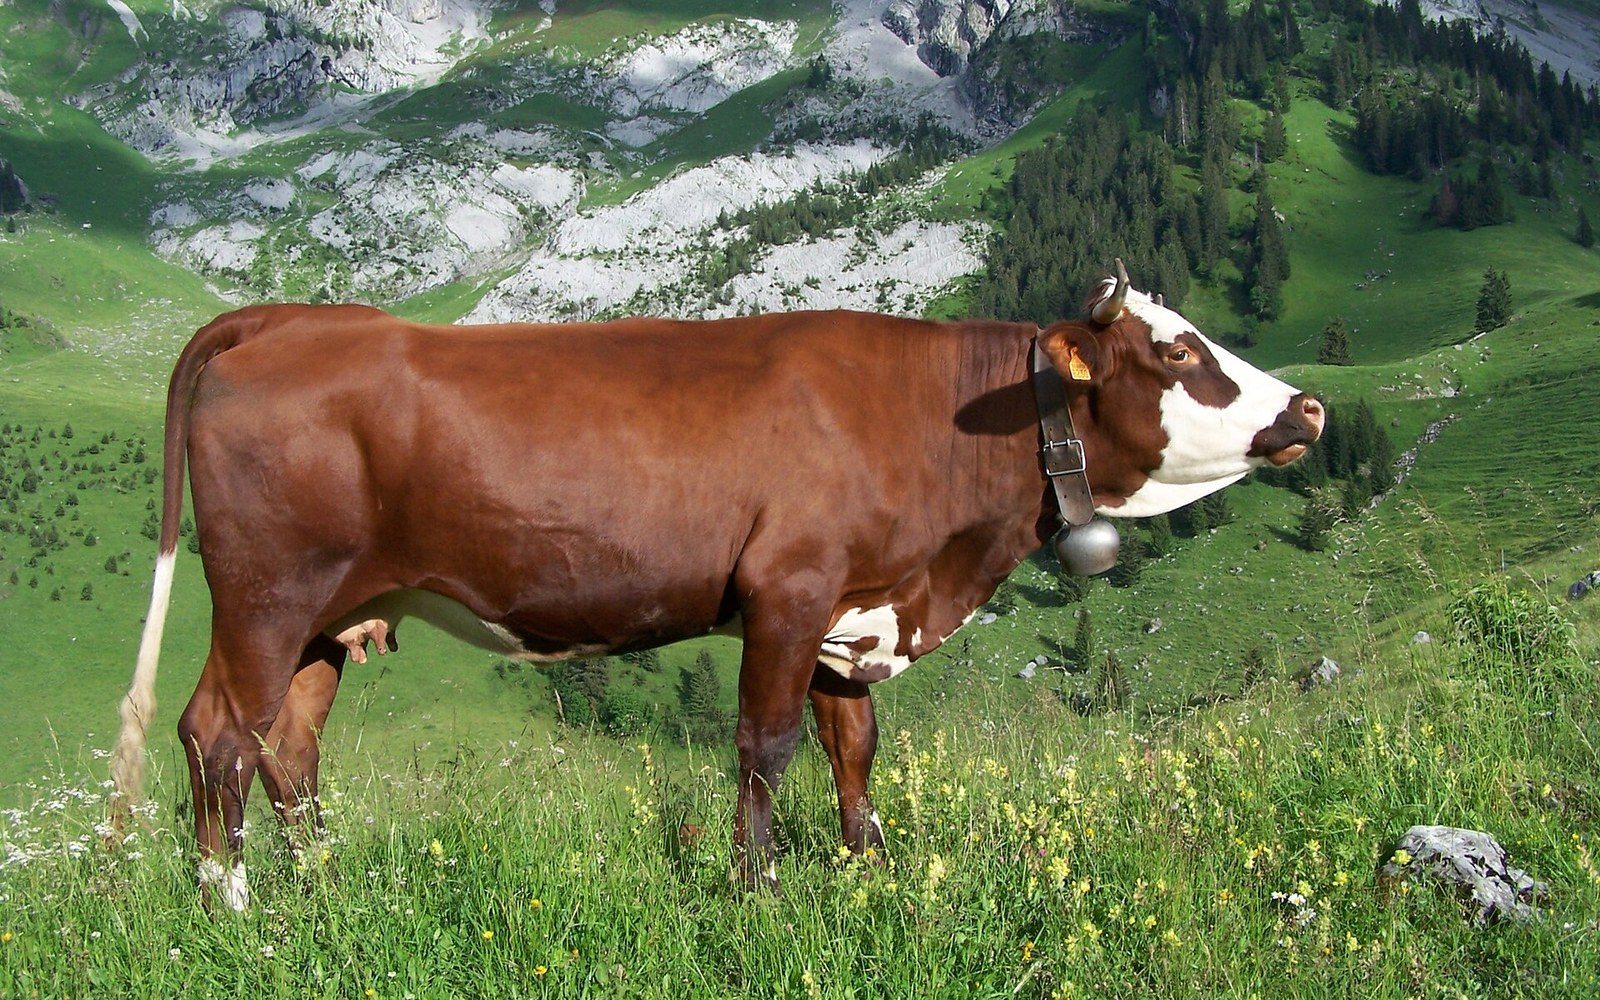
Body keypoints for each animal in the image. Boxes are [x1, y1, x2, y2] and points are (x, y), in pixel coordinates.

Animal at [107, 264, 1322, 909]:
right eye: (1176, 353)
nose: (1307, 407)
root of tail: (284, 320)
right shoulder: (789, 590)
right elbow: (766, 745)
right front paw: (760, 889)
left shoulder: (854, 609)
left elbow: (854, 748)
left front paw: (869, 876)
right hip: (266, 594)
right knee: (218, 732)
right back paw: (231, 904)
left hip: (337, 612)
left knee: (290, 748)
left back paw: (326, 889)